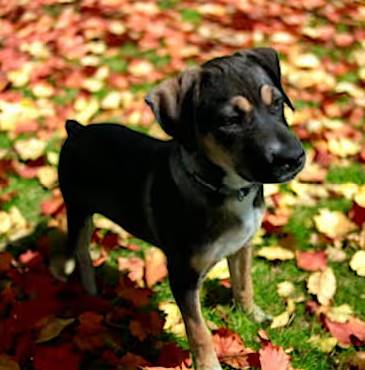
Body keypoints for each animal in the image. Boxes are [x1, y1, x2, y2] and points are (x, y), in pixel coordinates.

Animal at [58, 48, 306, 370]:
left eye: (276, 103)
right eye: (230, 120)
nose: (295, 158)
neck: (226, 189)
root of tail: (75, 130)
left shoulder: (243, 245)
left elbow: (244, 283)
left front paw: (253, 314)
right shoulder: (182, 275)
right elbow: (199, 330)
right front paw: (209, 365)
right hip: (77, 209)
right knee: (81, 253)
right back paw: (90, 292)